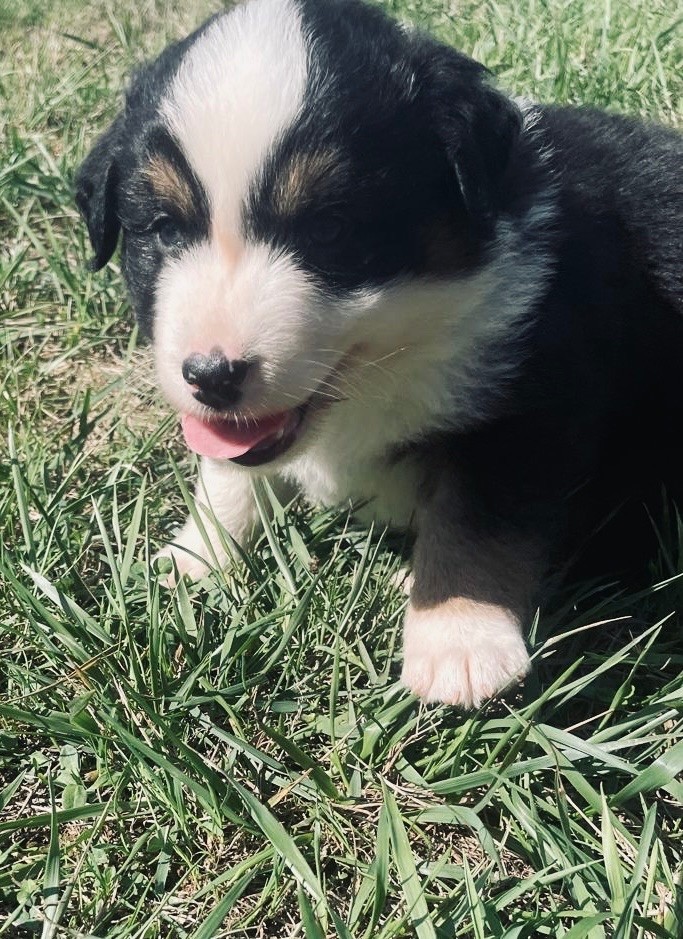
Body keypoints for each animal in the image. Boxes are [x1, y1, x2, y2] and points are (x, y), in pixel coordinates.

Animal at [76, 0, 682, 708]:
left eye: (330, 230)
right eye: (167, 230)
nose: (211, 376)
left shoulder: (533, 403)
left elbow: (478, 523)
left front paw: (459, 639)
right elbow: (225, 473)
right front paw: (196, 558)